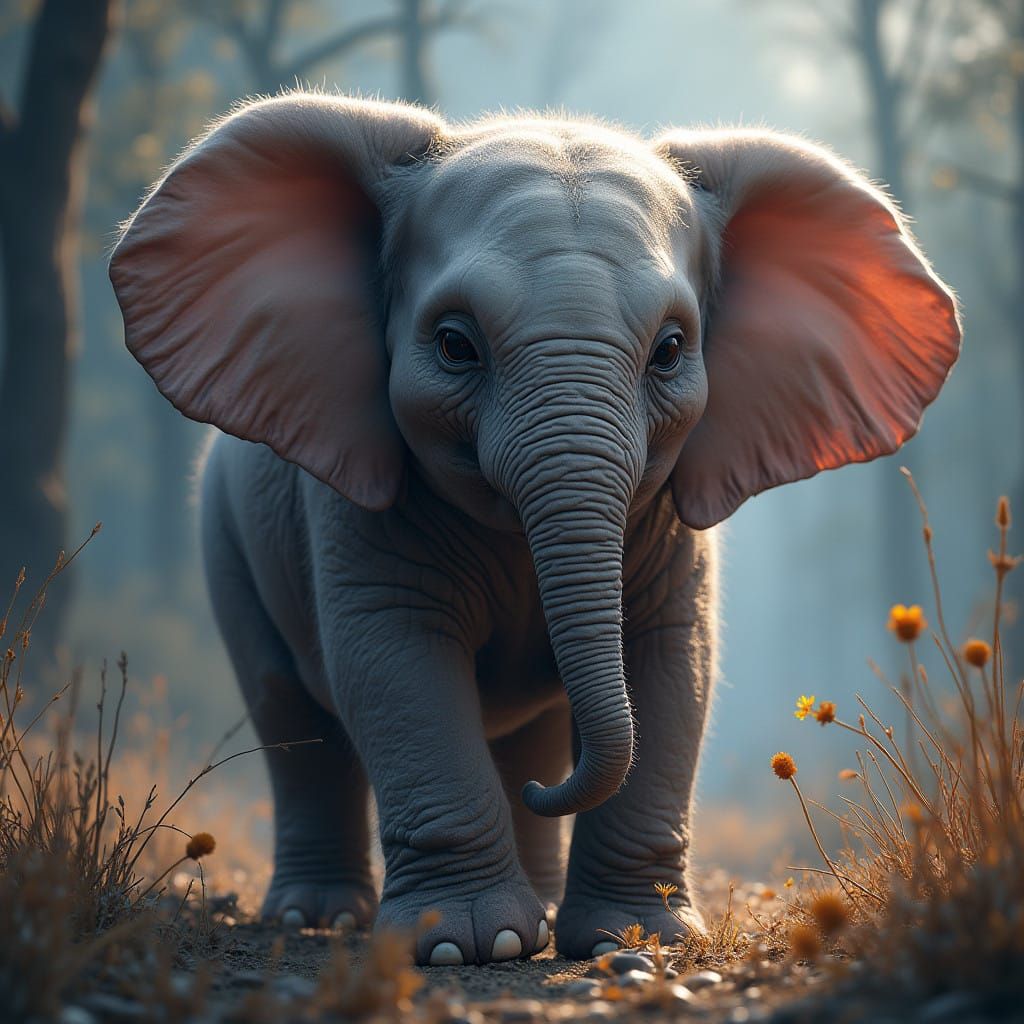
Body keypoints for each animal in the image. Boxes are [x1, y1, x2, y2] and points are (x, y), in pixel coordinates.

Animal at [109, 94, 960, 966]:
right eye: (455, 345)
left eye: (670, 350)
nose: (550, 796)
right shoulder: (353, 503)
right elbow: (394, 658)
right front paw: (465, 946)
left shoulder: (666, 524)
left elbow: (671, 661)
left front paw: (636, 937)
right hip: (225, 540)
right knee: (291, 714)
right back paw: (321, 918)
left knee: (534, 733)